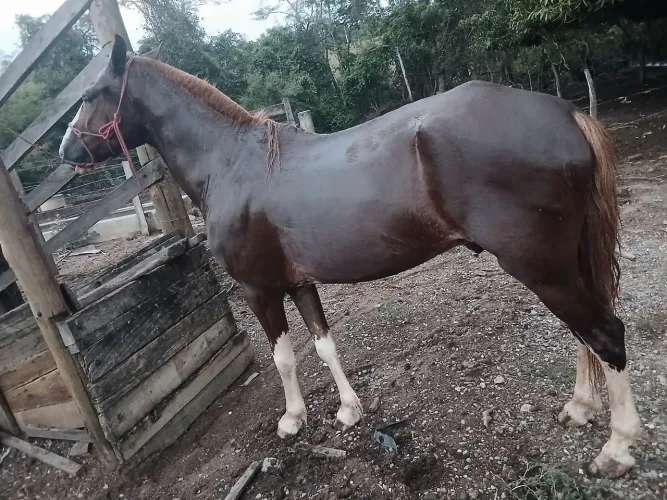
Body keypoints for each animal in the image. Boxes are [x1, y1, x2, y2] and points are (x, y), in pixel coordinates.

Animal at [59, 34, 642, 478]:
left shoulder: (258, 289)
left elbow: (284, 357)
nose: (66, 151)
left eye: (92, 94)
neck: (232, 164)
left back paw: (616, 449)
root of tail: (565, 113)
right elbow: (324, 346)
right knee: (586, 330)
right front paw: (348, 410)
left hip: (542, 267)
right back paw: (580, 408)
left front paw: (293, 419)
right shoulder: (299, 282)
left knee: (604, 333)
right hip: (563, 263)